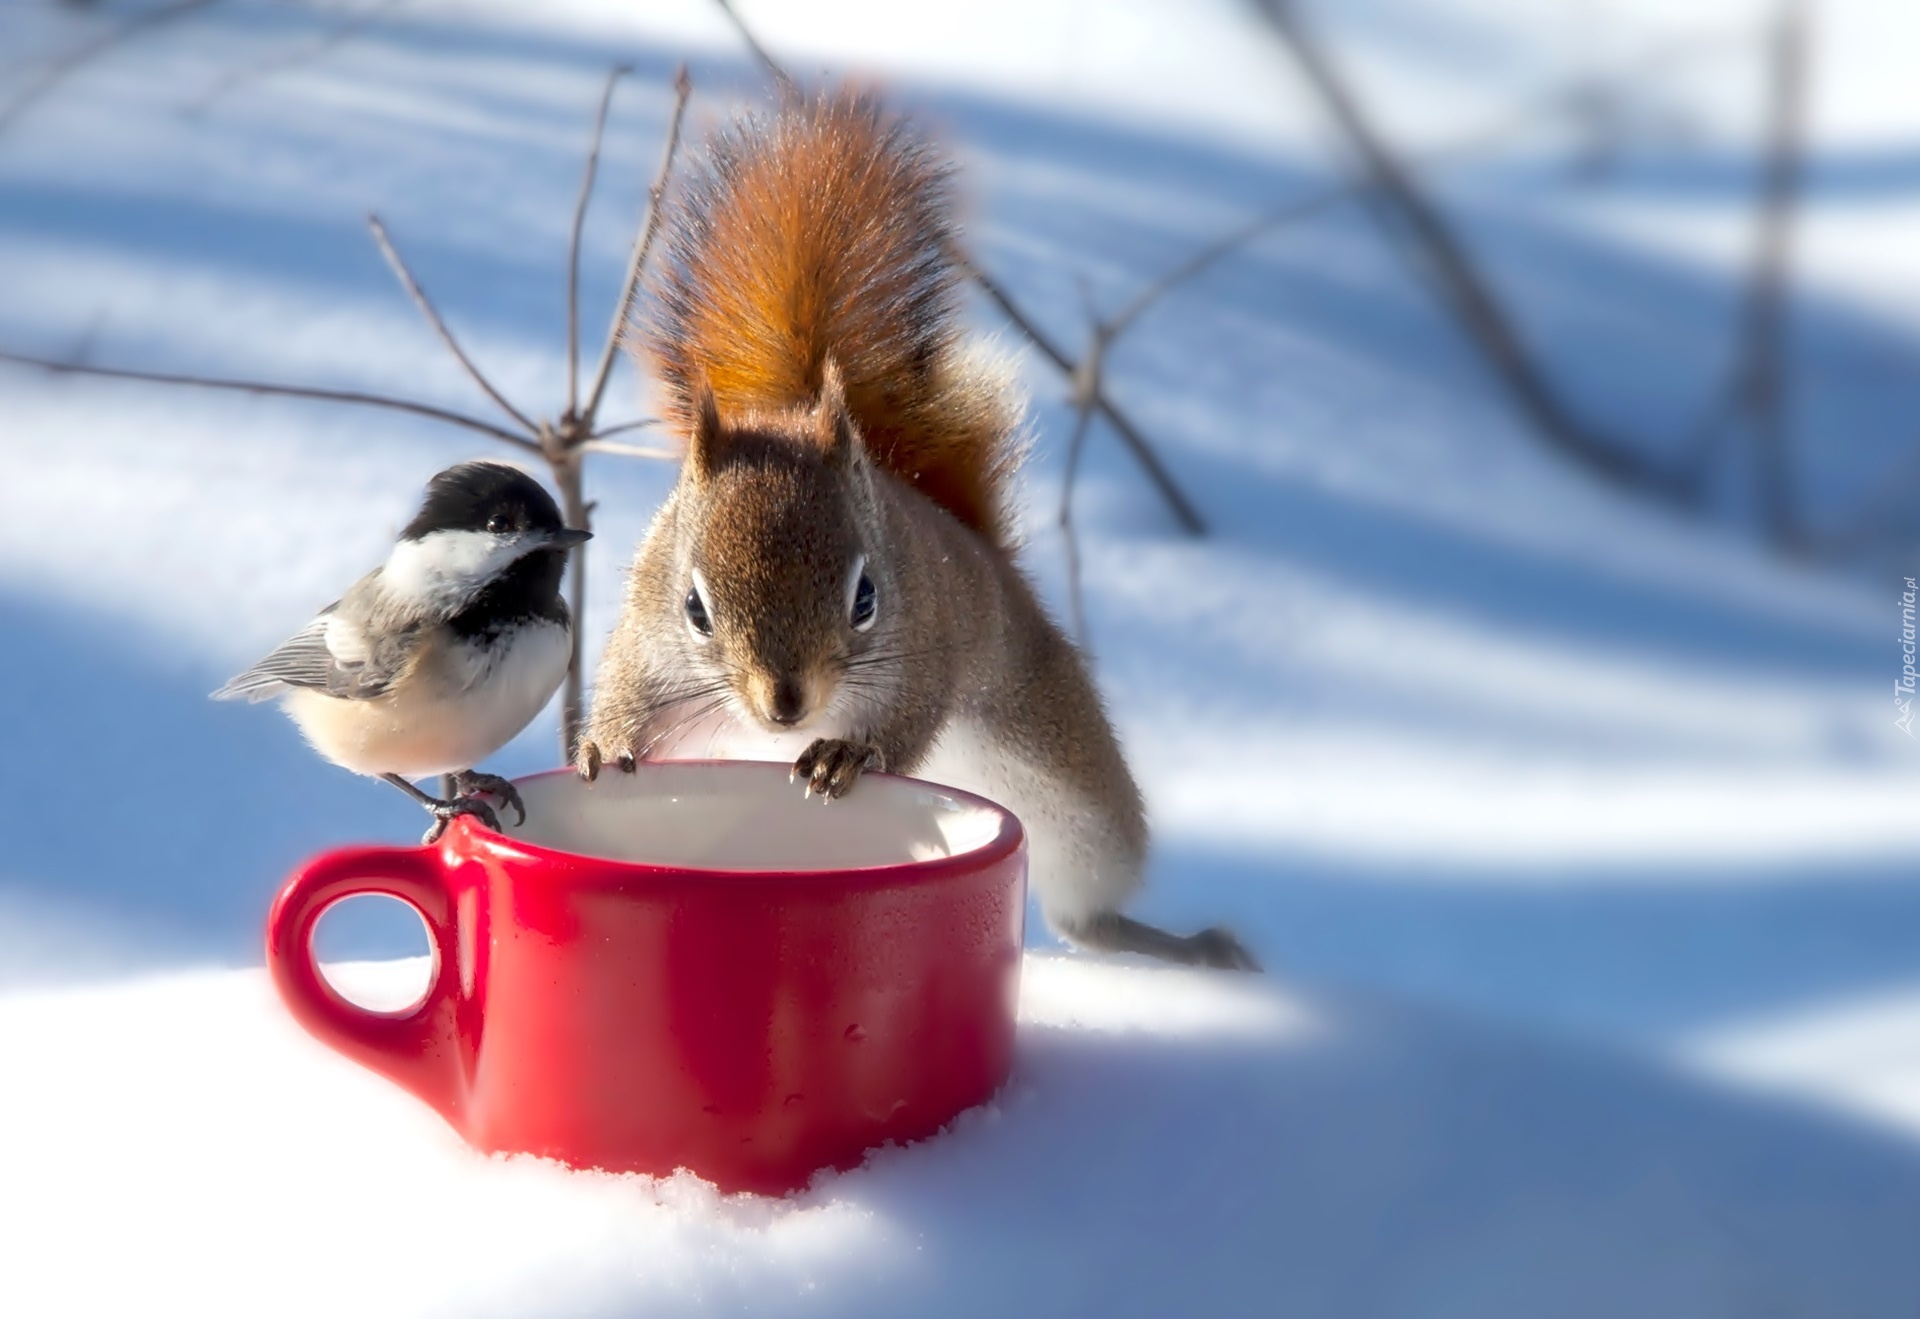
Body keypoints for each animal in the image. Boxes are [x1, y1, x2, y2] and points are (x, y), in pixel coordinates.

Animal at [576, 84, 1251, 971]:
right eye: (694, 608)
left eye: (866, 598)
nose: (786, 707)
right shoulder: (647, 635)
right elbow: (626, 691)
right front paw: (601, 744)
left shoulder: (926, 644)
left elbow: (908, 718)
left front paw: (846, 754)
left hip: (1074, 796)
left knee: (1088, 915)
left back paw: (1191, 947)